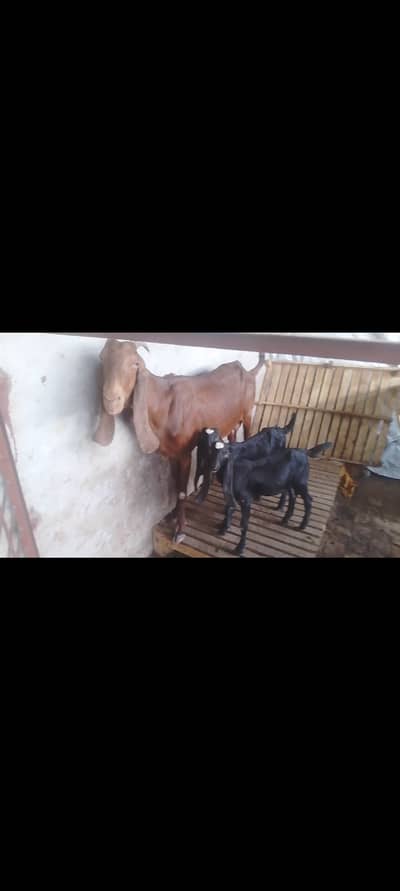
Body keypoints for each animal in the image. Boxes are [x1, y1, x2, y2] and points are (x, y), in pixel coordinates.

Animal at [93, 339, 267, 541]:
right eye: (102, 358)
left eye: (135, 364)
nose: (111, 400)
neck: (163, 403)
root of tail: (248, 372)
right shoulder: (171, 454)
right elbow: (174, 486)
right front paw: (172, 517)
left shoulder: (185, 453)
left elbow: (182, 492)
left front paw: (180, 530)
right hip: (231, 420)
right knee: (232, 437)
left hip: (247, 413)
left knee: (248, 435)